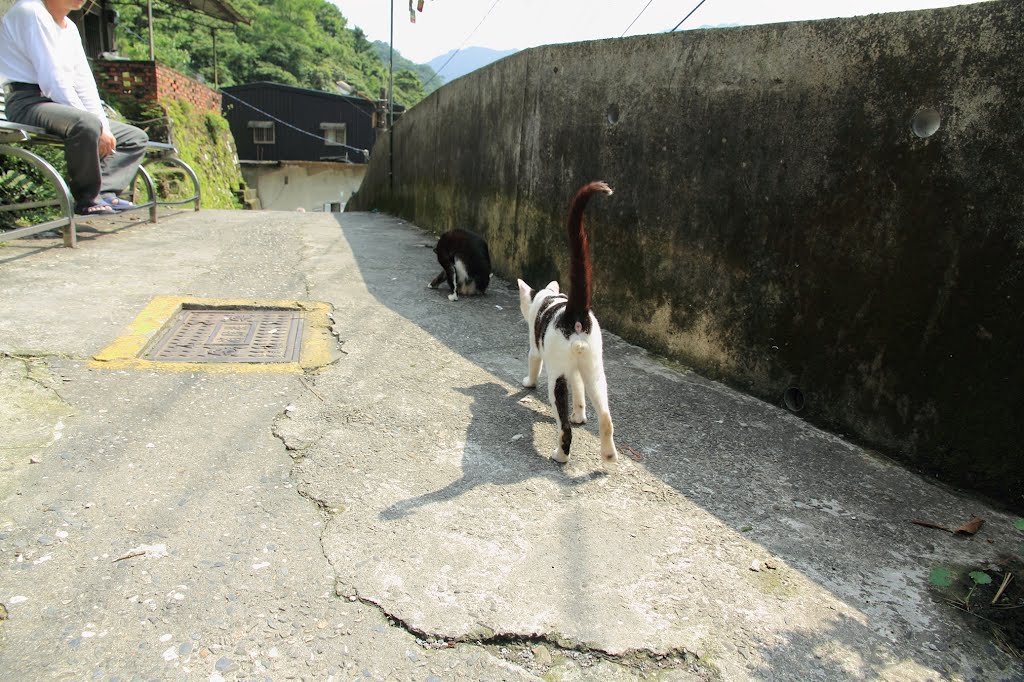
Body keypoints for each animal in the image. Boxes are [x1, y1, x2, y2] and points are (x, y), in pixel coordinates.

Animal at [520, 180, 614, 464]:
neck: (548, 297)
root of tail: (575, 311)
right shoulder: (578, 371)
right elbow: (580, 391)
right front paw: (580, 415)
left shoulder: (535, 345)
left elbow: (532, 362)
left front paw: (528, 383)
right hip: (595, 366)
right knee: (605, 414)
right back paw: (608, 455)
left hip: (557, 372)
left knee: (563, 425)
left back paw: (561, 455)